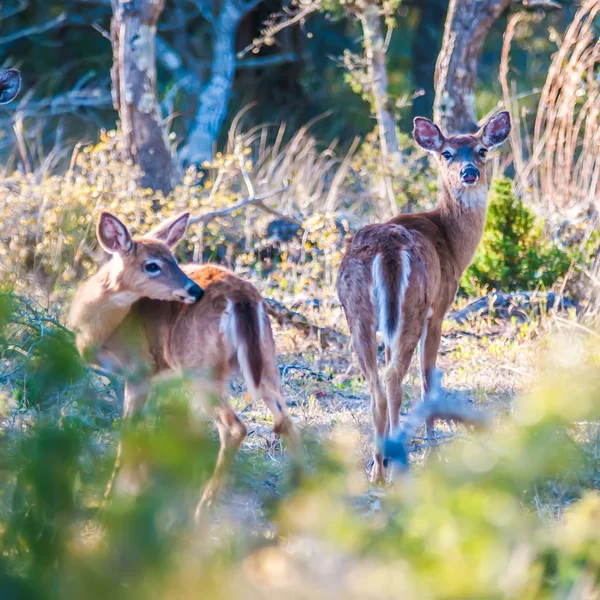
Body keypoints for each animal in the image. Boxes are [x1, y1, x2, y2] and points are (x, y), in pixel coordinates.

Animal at [69, 211, 302, 516]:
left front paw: (110, 501)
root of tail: (242, 298)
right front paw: (139, 489)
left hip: (200, 370)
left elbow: (129, 433)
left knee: (235, 427)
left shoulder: (140, 370)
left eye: (174, 259)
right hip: (267, 361)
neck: (97, 329)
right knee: (285, 420)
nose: (194, 290)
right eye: (152, 265)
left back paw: (202, 510)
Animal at [338, 110, 510, 482]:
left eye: (482, 150)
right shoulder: (440, 308)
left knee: (376, 383)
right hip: (412, 308)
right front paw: (433, 450)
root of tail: (385, 251)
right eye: (447, 153)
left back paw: (378, 469)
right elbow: (428, 379)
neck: (451, 241)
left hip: (358, 311)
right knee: (394, 378)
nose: (469, 172)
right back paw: (394, 467)